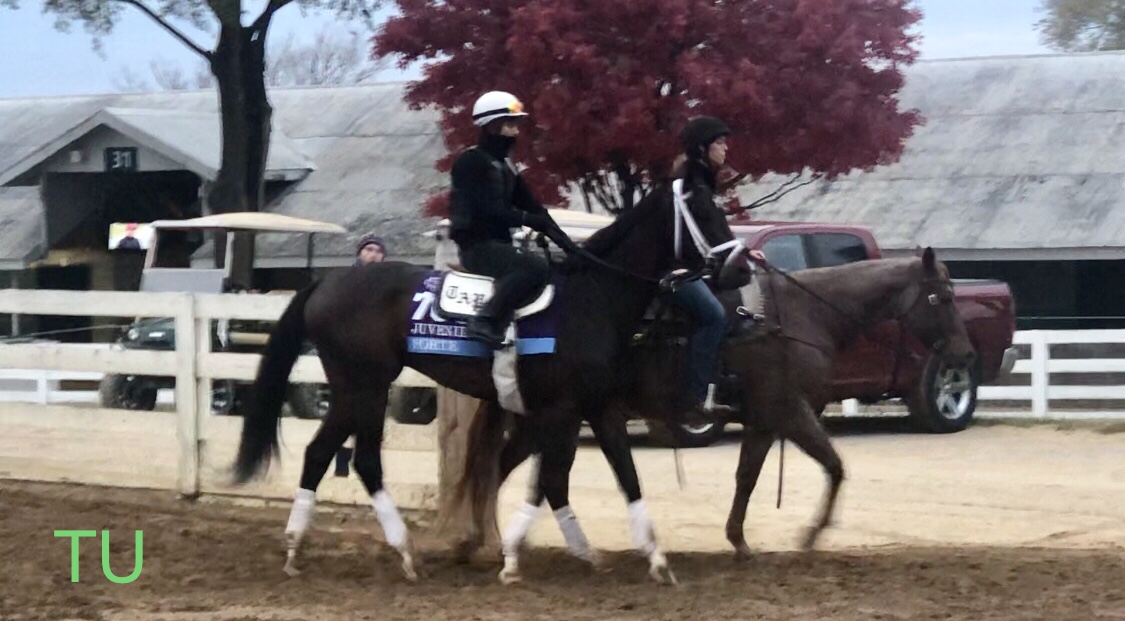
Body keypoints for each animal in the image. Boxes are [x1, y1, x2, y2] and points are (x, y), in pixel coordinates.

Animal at [229, 186, 742, 585]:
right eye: (703, 211)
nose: (742, 267)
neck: (591, 297)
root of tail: (326, 283)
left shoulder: (597, 408)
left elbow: (622, 476)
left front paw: (655, 559)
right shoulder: (560, 410)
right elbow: (548, 478)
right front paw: (513, 557)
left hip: (358, 390)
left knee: (332, 456)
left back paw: (311, 549)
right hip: (364, 387)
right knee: (355, 458)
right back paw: (393, 553)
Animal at [468, 248, 976, 562]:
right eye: (943, 296)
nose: (965, 353)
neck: (801, 317)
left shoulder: (765, 422)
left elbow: (750, 477)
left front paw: (741, 541)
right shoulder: (787, 412)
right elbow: (830, 466)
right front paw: (807, 535)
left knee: (510, 467)